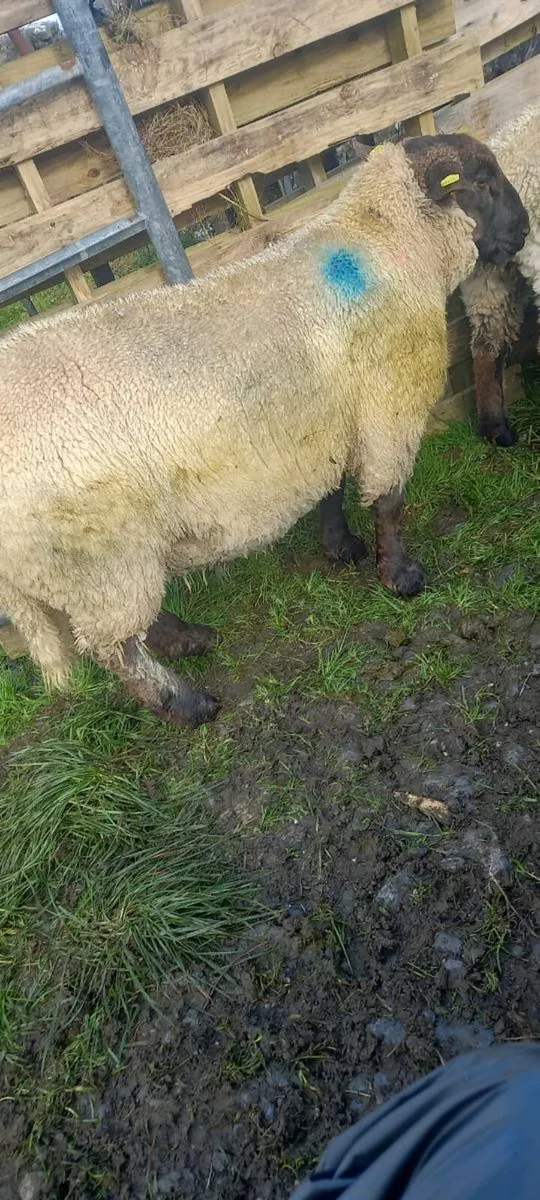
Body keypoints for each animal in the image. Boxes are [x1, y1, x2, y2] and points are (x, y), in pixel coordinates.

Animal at [0, 134, 528, 726]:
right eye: (482, 181)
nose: (525, 230)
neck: (387, 242)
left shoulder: (325, 422)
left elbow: (332, 488)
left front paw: (341, 548)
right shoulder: (387, 408)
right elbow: (389, 501)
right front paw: (401, 577)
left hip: (102, 568)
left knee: (132, 629)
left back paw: (189, 640)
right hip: (98, 561)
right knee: (115, 649)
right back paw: (186, 703)